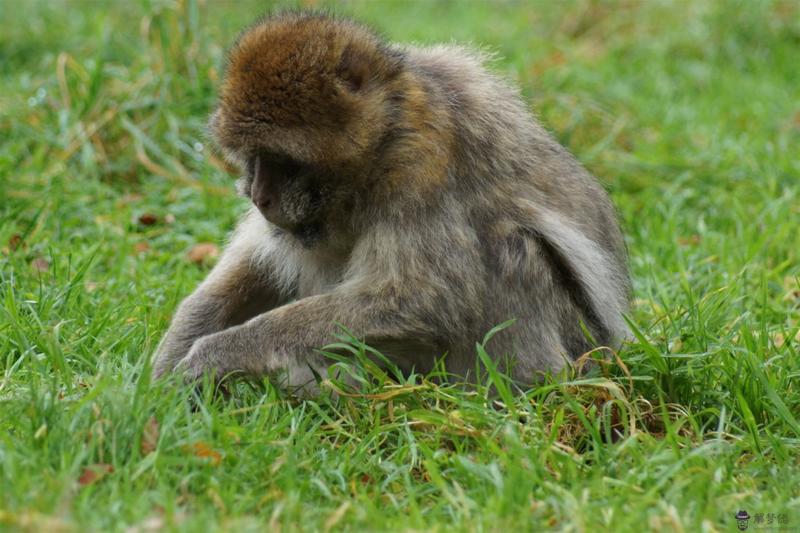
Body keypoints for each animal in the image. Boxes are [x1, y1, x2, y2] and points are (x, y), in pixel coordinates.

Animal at [150, 9, 632, 390]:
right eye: (252, 159)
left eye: (282, 161)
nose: (258, 196)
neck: (388, 127)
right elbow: (260, 260)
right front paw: (170, 361)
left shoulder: (420, 167)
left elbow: (422, 300)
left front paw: (220, 352)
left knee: (512, 247)